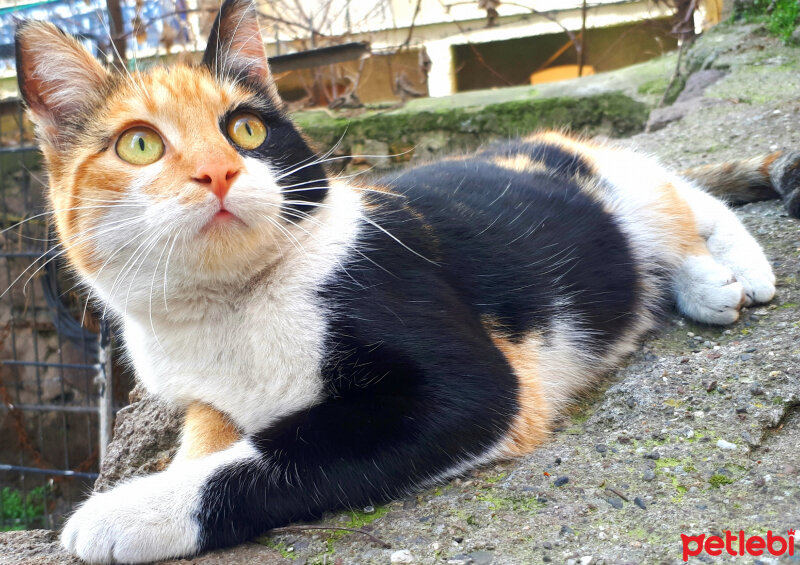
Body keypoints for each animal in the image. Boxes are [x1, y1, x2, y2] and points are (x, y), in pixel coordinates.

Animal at [10, 2, 792, 560]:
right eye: (140, 144)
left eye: (247, 131)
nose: (220, 171)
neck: (228, 309)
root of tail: (540, 141)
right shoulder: (202, 396)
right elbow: (208, 438)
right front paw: (167, 473)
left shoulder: (468, 383)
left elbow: (288, 450)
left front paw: (128, 509)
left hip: (616, 184)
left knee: (682, 197)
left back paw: (725, 274)